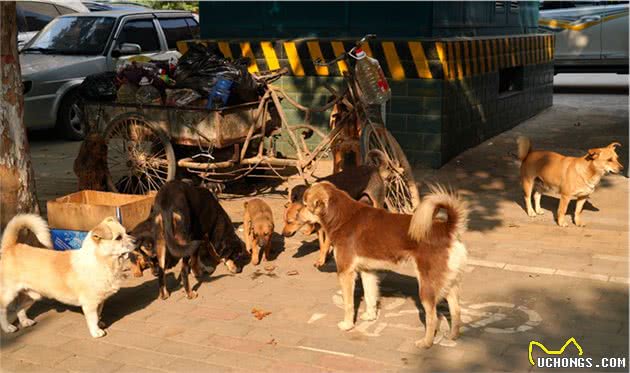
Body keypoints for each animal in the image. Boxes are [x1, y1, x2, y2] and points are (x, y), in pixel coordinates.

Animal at [0, 212, 135, 338]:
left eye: (126, 233)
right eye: (118, 238)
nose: (136, 240)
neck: (103, 261)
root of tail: (11, 247)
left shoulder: (100, 301)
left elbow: (98, 314)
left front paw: (100, 323)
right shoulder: (90, 303)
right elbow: (93, 318)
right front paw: (96, 331)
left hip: (31, 295)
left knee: (19, 308)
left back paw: (25, 322)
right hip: (8, 294)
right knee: (2, 310)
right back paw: (8, 328)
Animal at [302, 182, 470, 348]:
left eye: (305, 205)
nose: (297, 214)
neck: (343, 216)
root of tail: (447, 229)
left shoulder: (345, 272)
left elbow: (348, 304)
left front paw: (348, 325)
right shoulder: (367, 271)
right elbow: (370, 296)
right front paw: (370, 317)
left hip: (427, 285)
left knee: (433, 317)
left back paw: (426, 343)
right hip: (448, 282)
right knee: (456, 310)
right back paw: (453, 336)